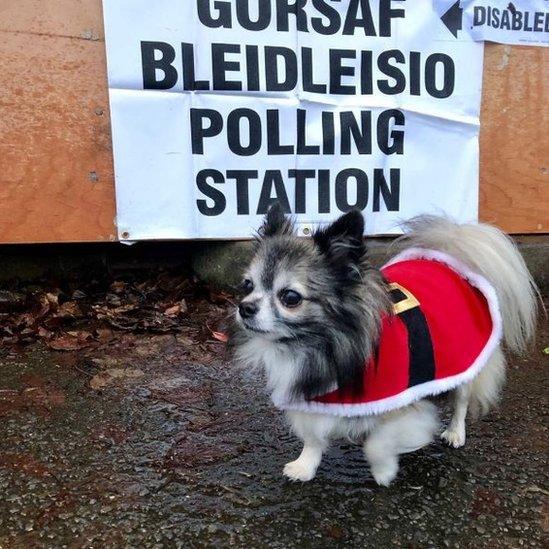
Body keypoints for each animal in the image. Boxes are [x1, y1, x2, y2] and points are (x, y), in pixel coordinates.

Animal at [231, 206, 536, 484]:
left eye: (290, 297)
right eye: (247, 286)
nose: (245, 307)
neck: (320, 343)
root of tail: (448, 257)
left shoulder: (404, 400)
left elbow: (377, 443)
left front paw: (384, 471)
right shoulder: (316, 397)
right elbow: (314, 436)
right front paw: (305, 466)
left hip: (464, 364)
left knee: (461, 401)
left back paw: (455, 433)